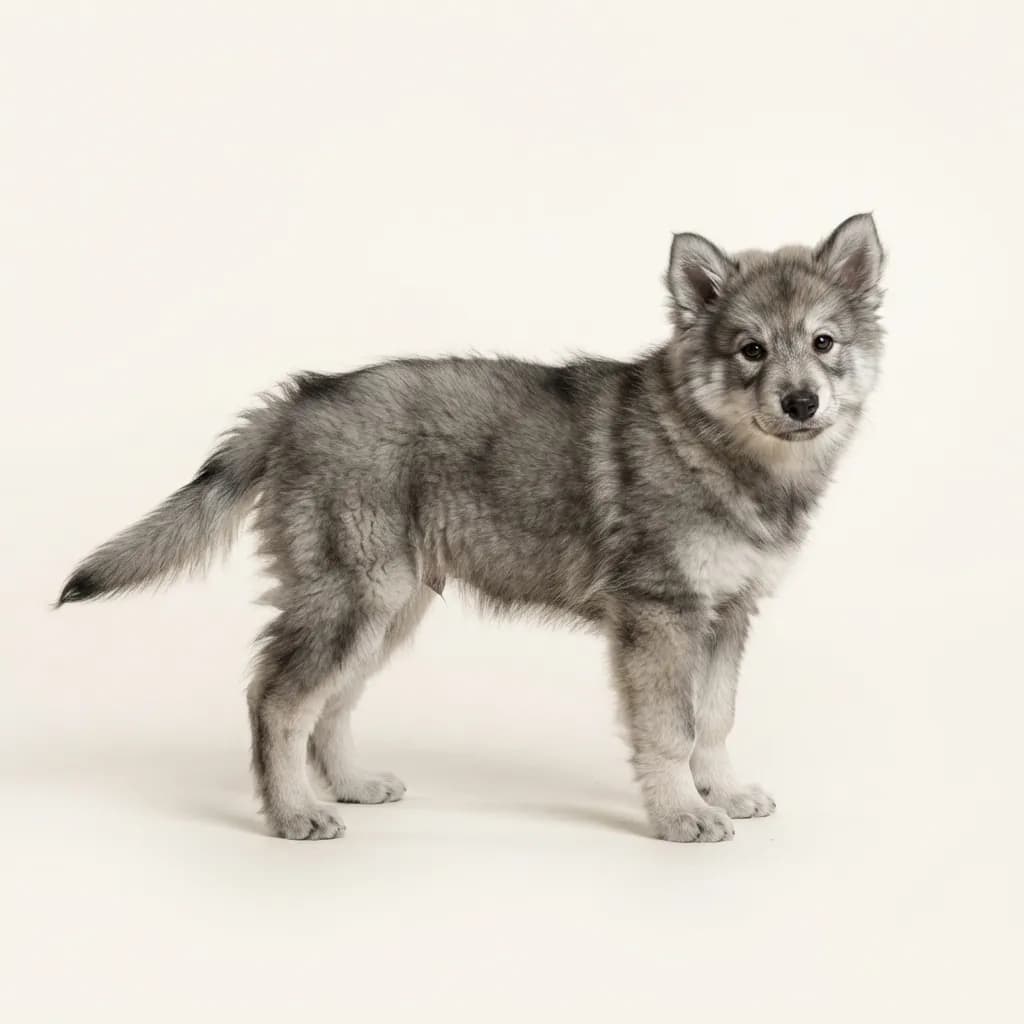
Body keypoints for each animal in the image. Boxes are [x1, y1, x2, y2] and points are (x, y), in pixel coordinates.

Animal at [58, 214, 885, 842]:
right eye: (751, 350)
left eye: (823, 343)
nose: (802, 402)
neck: (713, 446)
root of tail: (299, 400)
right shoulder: (661, 616)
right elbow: (669, 729)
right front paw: (681, 813)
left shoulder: (727, 614)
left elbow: (714, 717)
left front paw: (724, 792)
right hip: (353, 598)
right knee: (279, 701)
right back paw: (294, 812)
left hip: (388, 609)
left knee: (331, 704)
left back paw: (349, 783)